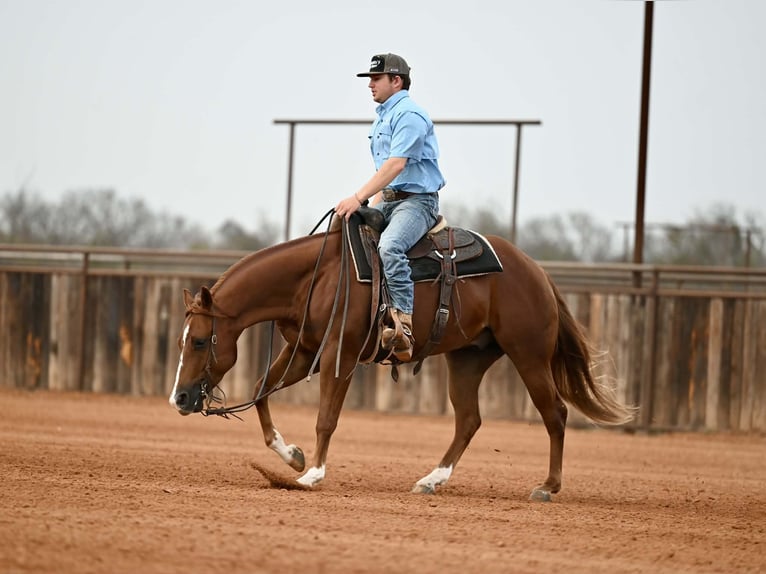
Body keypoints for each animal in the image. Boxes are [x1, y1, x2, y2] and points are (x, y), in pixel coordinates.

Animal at [168, 214, 634, 500]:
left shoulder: (339, 353)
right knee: (469, 420)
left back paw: (548, 486)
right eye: (181, 340)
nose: (180, 399)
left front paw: (313, 473)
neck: (316, 276)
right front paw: (291, 455)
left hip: (529, 354)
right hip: (468, 358)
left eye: (199, 341)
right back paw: (431, 479)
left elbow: (326, 417)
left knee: (555, 412)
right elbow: (262, 389)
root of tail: (536, 271)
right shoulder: (305, 349)